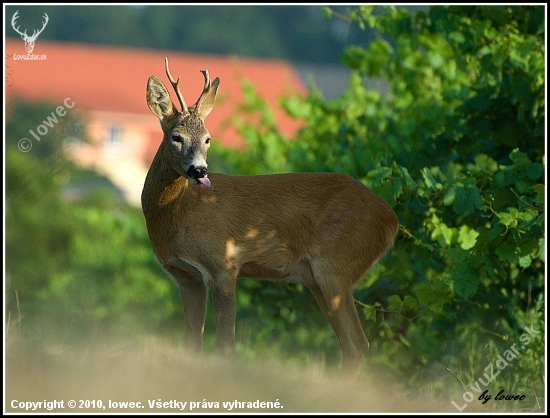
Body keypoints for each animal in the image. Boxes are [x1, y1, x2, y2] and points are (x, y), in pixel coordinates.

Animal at [142, 56, 398, 372]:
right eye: (176, 137)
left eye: (208, 139)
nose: (199, 170)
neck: (178, 213)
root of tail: (391, 219)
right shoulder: (186, 275)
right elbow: (192, 344)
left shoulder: (223, 264)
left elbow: (226, 345)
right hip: (316, 277)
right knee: (352, 345)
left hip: (336, 264)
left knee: (357, 342)